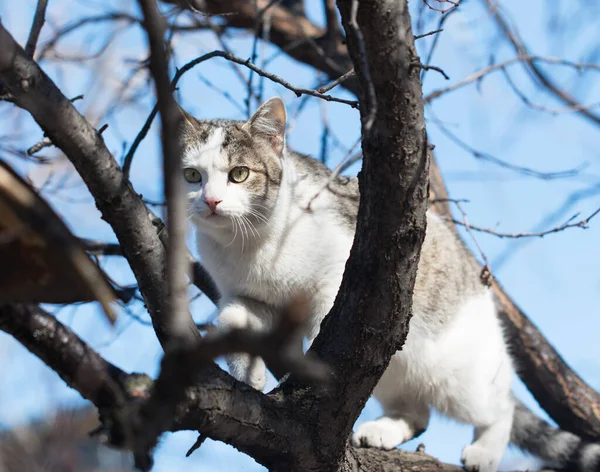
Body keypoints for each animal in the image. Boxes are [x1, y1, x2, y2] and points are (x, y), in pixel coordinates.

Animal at [182, 97, 600, 472]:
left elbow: (322, 326)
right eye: (191, 176)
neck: (247, 244)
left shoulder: (334, 281)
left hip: (459, 375)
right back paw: (384, 430)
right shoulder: (247, 297)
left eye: (239, 174)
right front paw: (250, 374)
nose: (212, 201)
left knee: (500, 407)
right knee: (417, 412)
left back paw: (485, 451)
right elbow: (233, 320)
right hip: (395, 368)